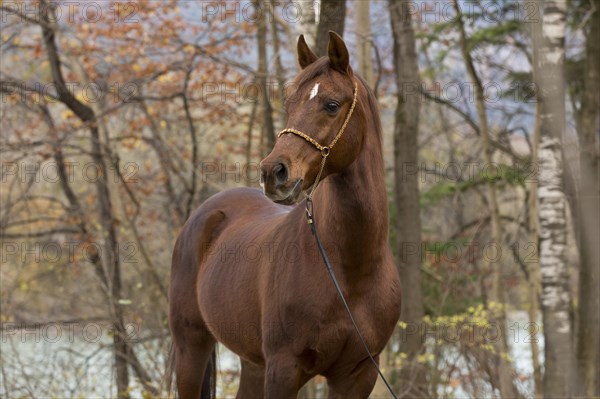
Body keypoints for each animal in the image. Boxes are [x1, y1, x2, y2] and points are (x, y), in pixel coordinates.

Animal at [169, 32, 400, 398]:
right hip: (190, 348)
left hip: (251, 363)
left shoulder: (358, 374)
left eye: (331, 105)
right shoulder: (283, 369)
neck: (349, 270)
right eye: (289, 104)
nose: (272, 173)